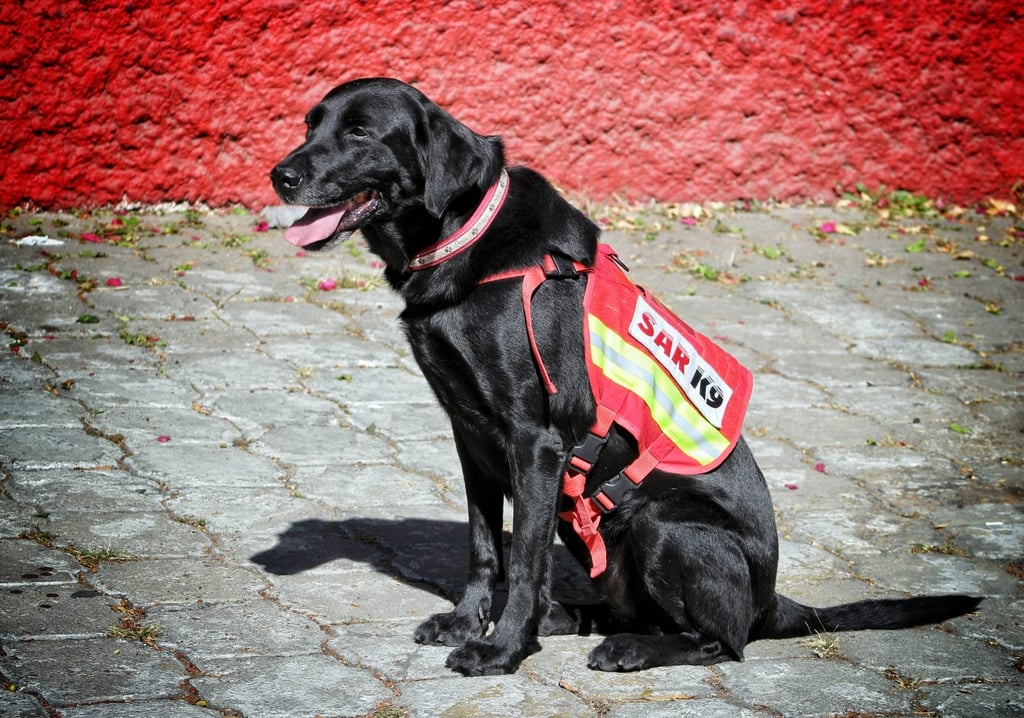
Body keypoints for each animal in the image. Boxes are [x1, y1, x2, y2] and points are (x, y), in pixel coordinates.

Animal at [270, 81, 974, 676]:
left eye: (360, 132)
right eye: (310, 124)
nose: (280, 175)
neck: (462, 235)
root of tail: (772, 599)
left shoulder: (535, 441)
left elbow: (521, 558)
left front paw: (501, 649)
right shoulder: (471, 436)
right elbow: (484, 546)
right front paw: (471, 622)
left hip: (663, 522)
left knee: (723, 641)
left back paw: (628, 647)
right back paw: (569, 616)